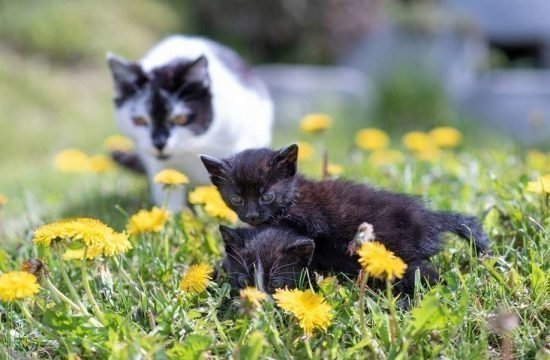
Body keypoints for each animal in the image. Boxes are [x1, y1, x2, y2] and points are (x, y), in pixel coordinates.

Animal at [106, 35, 272, 211]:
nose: (159, 144)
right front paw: (171, 216)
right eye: (139, 120)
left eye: (180, 119)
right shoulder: (158, 165)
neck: (190, 148)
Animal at [204, 143, 492, 292]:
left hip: (401, 254)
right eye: (236, 198)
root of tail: (431, 217)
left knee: (424, 273)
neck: (294, 196)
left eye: (266, 196)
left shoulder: (312, 224)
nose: (252, 215)